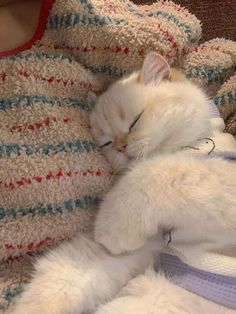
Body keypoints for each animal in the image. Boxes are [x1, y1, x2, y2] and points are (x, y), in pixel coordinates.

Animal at [11, 53, 236, 314]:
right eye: (107, 142)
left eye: (134, 122)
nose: (121, 147)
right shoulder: (151, 243)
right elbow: (67, 275)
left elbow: (154, 172)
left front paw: (109, 230)